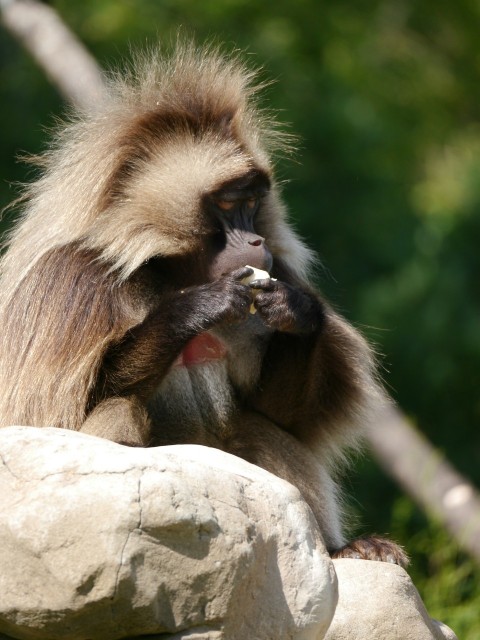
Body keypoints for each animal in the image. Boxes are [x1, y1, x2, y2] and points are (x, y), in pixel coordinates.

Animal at [0, 42, 407, 566]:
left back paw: (339, 551)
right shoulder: (70, 281)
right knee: (117, 408)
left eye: (253, 202)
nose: (256, 242)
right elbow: (43, 422)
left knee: (256, 426)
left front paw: (297, 313)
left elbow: (283, 416)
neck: (169, 271)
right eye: (230, 204)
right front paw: (194, 311)